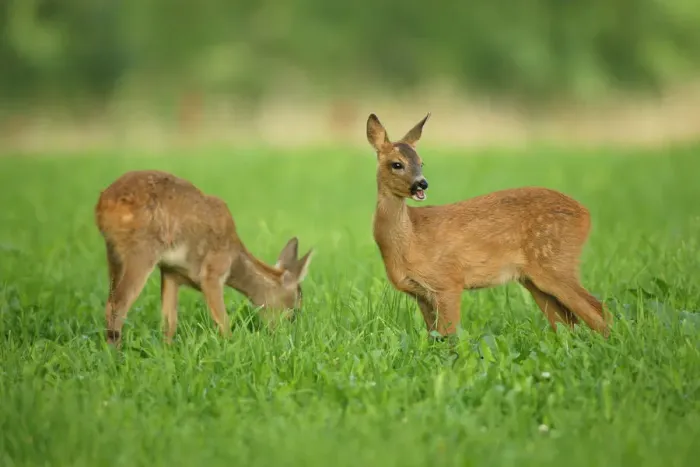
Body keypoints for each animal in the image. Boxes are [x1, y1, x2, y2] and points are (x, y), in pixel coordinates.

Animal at [94, 170, 314, 347]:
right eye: (295, 310)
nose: (285, 336)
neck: (235, 258)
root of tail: (102, 203)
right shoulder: (212, 272)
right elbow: (223, 321)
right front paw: (231, 347)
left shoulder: (170, 271)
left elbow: (169, 322)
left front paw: (167, 352)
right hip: (141, 250)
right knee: (117, 304)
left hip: (113, 254)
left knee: (111, 300)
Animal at [366, 113, 611, 340]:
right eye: (397, 164)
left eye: (421, 162)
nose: (422, 184)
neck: (410, 238)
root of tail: (585, 213)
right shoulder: (421, 294)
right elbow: (435, 337)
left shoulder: (448, 281)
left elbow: (450, 337)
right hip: (533, 279)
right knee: (568, 323)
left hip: (556, 262)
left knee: (598, 311)